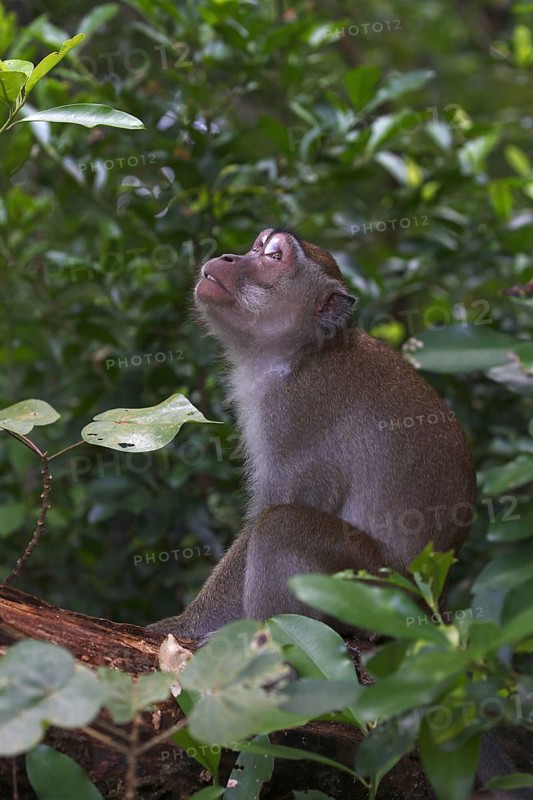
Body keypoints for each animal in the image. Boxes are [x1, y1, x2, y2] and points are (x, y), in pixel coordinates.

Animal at [149, 228, 476, 640]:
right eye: (255, 247)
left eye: (274, 257)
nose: (227, 257)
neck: (302, 353)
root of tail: (430, 602)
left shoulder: (295, 412)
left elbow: (278, 506)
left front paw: (182, 625)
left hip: (369, 587)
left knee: (281, 526)